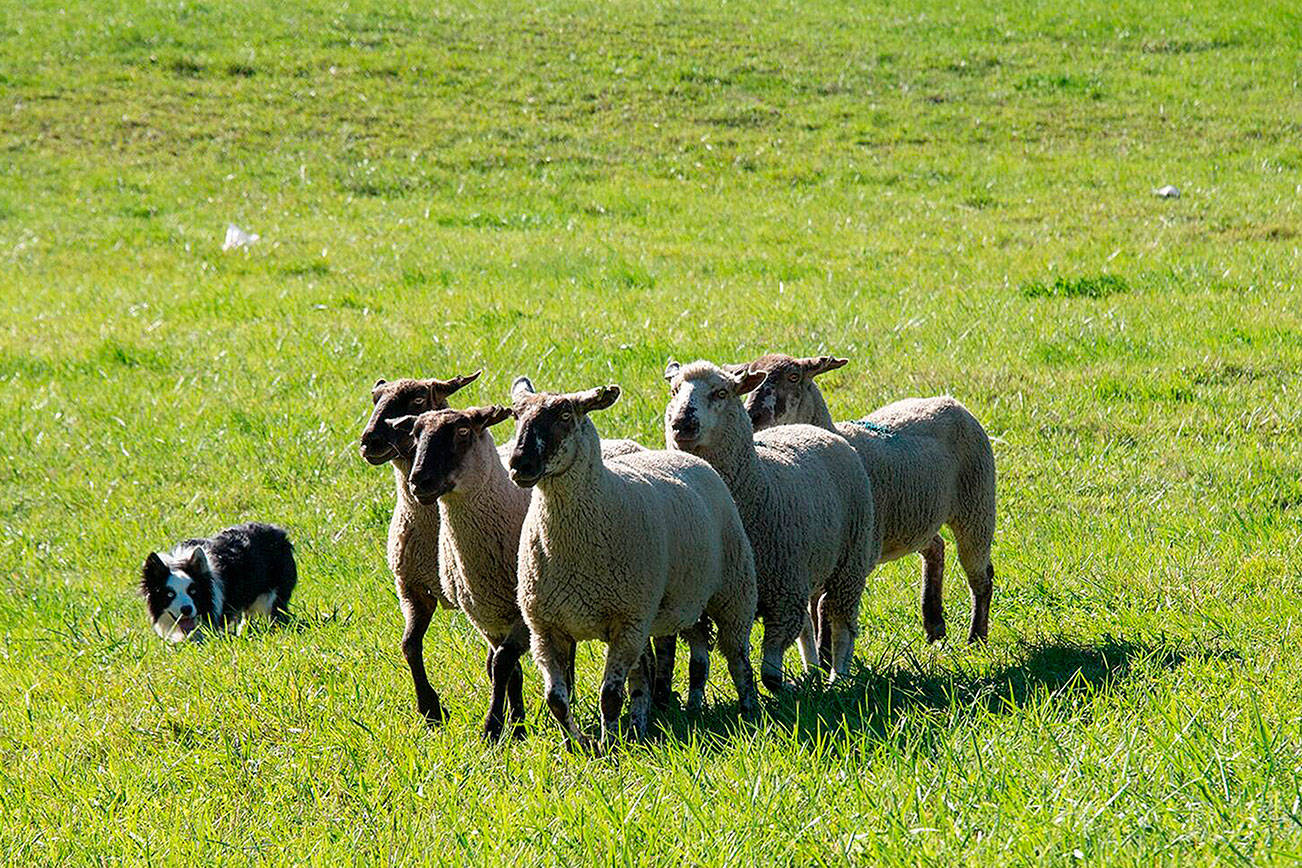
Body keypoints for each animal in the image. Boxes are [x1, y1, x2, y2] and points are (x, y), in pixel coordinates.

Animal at [359, 374, 481, 728]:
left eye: (416, 401)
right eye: (375, 399)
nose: (369, 440)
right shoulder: (412, 588)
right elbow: (409, 646)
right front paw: (430, 709)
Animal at [505, 377, 760, 749]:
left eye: (566, 414)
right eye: (515, 415)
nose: (518, 464)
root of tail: (682, 456)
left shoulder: (626, 621)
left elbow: (610, 696)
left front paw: (608, 747)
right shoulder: (546, 628)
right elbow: (557, 699)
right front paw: (578, 744)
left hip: (732, 589)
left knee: (737, 654)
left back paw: (750, 709)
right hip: (669, 606)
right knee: (665, 666)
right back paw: (654, 721)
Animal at [666, 359, 880, 692]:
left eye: (721, 392)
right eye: (675, 391)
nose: (682, 424)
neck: (756, 485)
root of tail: (808, 427)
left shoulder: (783, 595)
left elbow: (769, 671)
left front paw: (786, 688)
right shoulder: (700, 602)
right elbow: (699, 662)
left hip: (850, 563)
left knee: (842, 621)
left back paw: (838, 678)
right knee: (808, 624)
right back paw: (813, 670)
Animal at [734, 353, 994, 645]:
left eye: (793, 377)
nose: (753, 416)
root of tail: (950, 401)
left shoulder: (858, 551)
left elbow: (824, 606)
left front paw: (824, 652)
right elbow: (814, 607)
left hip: (977, 504)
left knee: (981, 576)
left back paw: (976, 638)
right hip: (916, 518)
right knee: (936, 547)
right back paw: (935, 625)